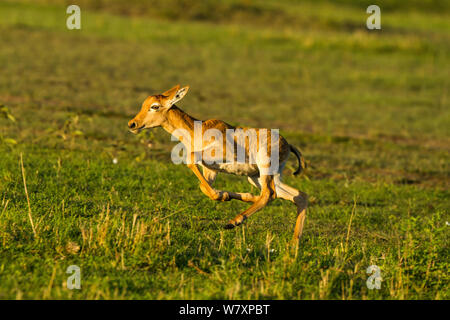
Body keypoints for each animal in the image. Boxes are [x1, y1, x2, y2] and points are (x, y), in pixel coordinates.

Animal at [128, 85, 308, 242]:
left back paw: (233, 222)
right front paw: (226, 195)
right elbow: (204, 187)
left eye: (155, 106)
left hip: (265, 171)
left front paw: (225, 196)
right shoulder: (210, 170)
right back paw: (293, 244)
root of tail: (287, 144)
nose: (132, 124)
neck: (198, 130)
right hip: (258, 177)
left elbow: (190, 160)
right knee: (297, 196)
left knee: (269, 194)